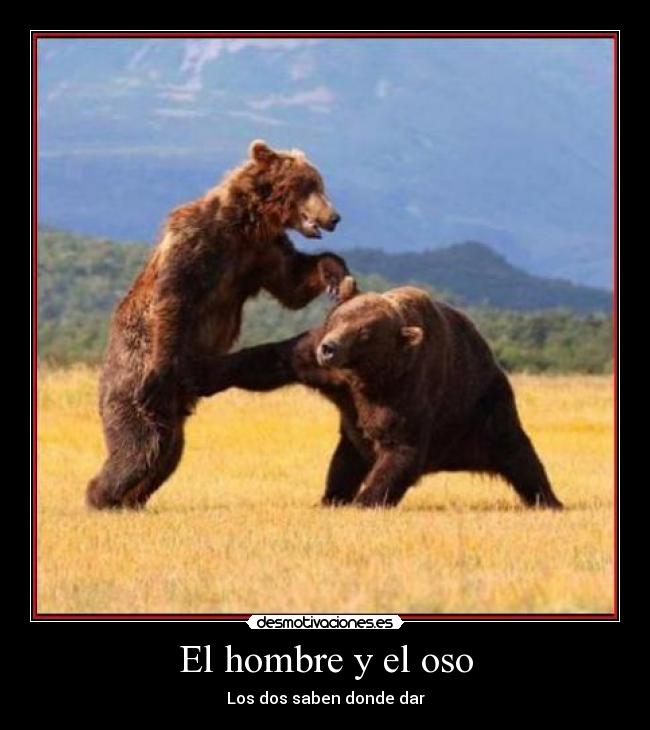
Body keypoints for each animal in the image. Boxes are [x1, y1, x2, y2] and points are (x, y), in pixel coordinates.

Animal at [86, 140, 349, 510]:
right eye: (309, 185)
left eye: (319, 184)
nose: (334, 217)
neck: (247, 225)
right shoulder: (198, 242)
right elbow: (173, 299)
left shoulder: (261, 254)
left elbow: (293, 283)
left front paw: (336, 274)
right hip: (130, 388)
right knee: (139, 447)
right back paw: (101, 496)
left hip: (174, 413)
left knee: (167, 454)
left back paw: (131, 499)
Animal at [190, 282, 563, 509]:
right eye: (340, 317)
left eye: (365, 333)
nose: (330, 347)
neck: (363, 375)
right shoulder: (327, 372)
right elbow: (274, 359)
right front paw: (203, 373)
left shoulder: (401, 393)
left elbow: (400, 451)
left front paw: (366, 500)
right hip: (355, 439)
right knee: (342, 463)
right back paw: (330, 498)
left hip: (484, 407)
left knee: (518, 454)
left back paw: (548, 500)